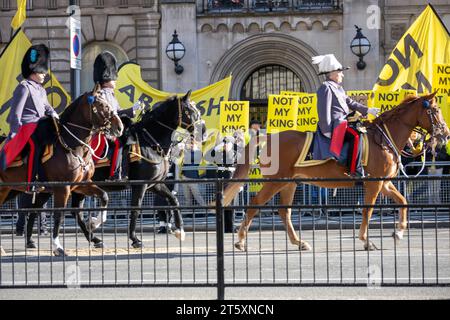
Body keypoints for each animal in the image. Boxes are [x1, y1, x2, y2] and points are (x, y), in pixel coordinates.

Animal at [0, 84, 123, 256]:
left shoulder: (81, 184)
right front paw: (58, 246)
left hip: (8, 189)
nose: (119, 127)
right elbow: (59, 214)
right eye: (101, 105)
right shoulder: (62, 188)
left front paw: (94, 223)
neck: (72, 145)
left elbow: (103, 196)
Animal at [222, 94, 450, 251]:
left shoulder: (384, 183)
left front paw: (399, 232)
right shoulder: (374, 183)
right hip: (276, 181)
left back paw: (299, 242)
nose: (445, 134)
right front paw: (366, 241)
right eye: (435, 110)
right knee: (255, 203)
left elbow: (403, 201)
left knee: (284, 212)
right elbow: (368, 210)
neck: (383, 139)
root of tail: (268, 136)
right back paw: (240, 241)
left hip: (290, 182)